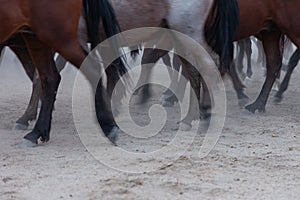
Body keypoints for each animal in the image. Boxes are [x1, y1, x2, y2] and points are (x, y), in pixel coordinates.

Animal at [0, 0, 129, 145]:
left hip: (59, 35)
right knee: (49, 77)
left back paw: (109, 126)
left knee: (93, 70)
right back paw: (36, 133)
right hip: (36, 36)